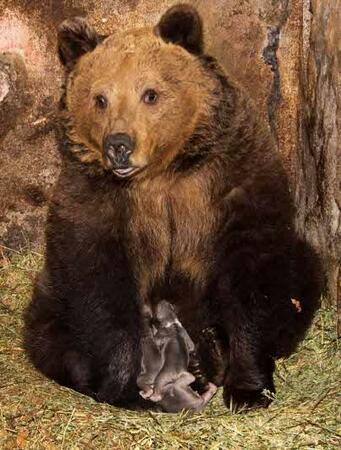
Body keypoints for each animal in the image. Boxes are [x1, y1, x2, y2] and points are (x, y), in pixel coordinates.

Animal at [23, 4, 322, 412]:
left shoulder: (229, 178)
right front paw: (126, 385)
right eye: (100, 98)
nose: (119, 145)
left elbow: (250, 274)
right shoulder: (94, 199)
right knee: (48, 332)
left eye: (150, 93)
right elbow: (100, 284)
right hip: (52, 296)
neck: (162, 172)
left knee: (302, 276)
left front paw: (248, 387)